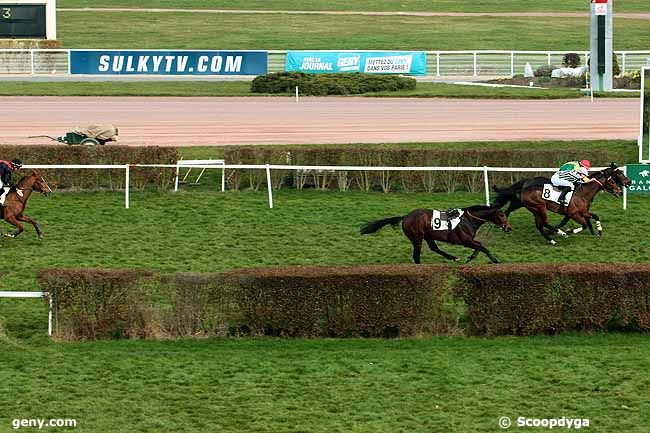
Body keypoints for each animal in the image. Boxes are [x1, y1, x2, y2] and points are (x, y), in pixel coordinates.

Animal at [362, 205, 508, 264]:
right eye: (502, 215)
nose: (509, 228)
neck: (468, 220)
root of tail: (405, 217)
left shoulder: (469, 241)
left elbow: (480, 246)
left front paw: (469, 258)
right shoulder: (466, 241)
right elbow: (483, 247)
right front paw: (495, 260)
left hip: (428, 236)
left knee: (434, 248)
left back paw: (453, 257)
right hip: (417, 237)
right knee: (416, 255)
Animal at [494, 164, 624, 243]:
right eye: (613, 180)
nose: (620, 191)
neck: (582, 193)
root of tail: (524, 188)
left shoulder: (583, 211)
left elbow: (595, 217)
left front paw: (599, 231)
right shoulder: (573, 214)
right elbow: (584, 224)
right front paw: (570, 231)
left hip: (534, 209)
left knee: (539, 225)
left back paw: (551, 239)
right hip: (539, 207)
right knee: (544, 222)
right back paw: (561, 233)